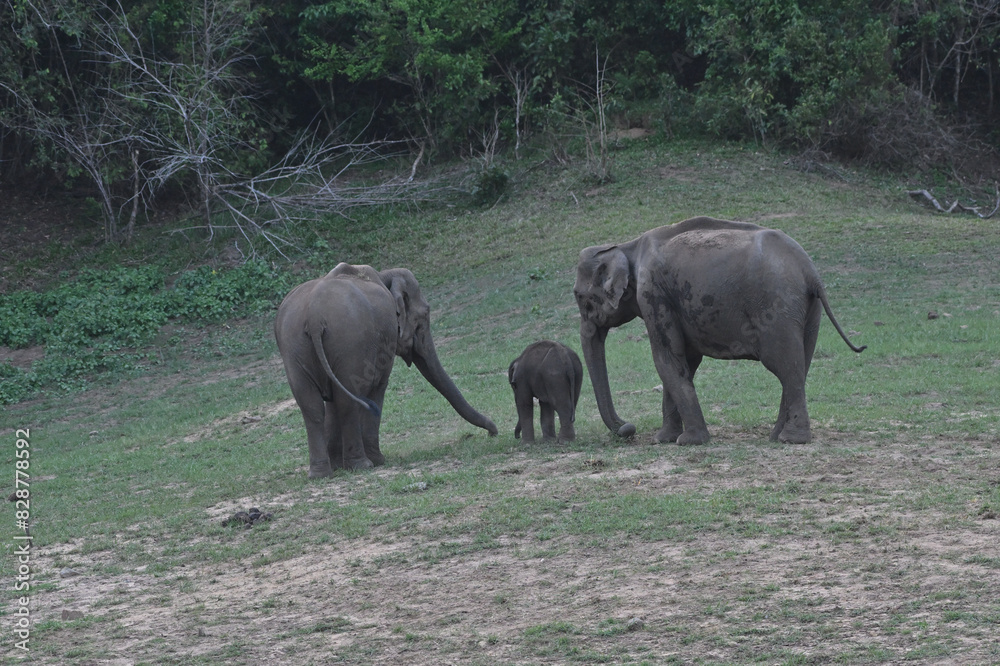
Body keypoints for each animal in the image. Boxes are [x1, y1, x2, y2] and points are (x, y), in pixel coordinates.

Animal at [274, 263, 498, 477]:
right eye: (425, 314)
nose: (493, 432)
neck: (384, 275)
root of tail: (314, 319)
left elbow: (331, 401)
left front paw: (339, 465)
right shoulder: (384, 344)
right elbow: (378, 386)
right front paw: (378, 461)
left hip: (293, 348)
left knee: (311, 405)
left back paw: (321, 474)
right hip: (349, 344)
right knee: (348, 399)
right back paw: (362, 466)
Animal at [573, 216, 866, 445]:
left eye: (579, 298)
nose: (628, 428)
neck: (626, 246)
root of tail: (810, 271)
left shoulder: (653, 293)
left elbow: (666, 358)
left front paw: (688, 441)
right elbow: (684, 361)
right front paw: (664, 439)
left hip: (776, 305)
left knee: (785, 364)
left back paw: (791, 439)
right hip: (808, 309)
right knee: (800, 361)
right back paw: (775, 436)